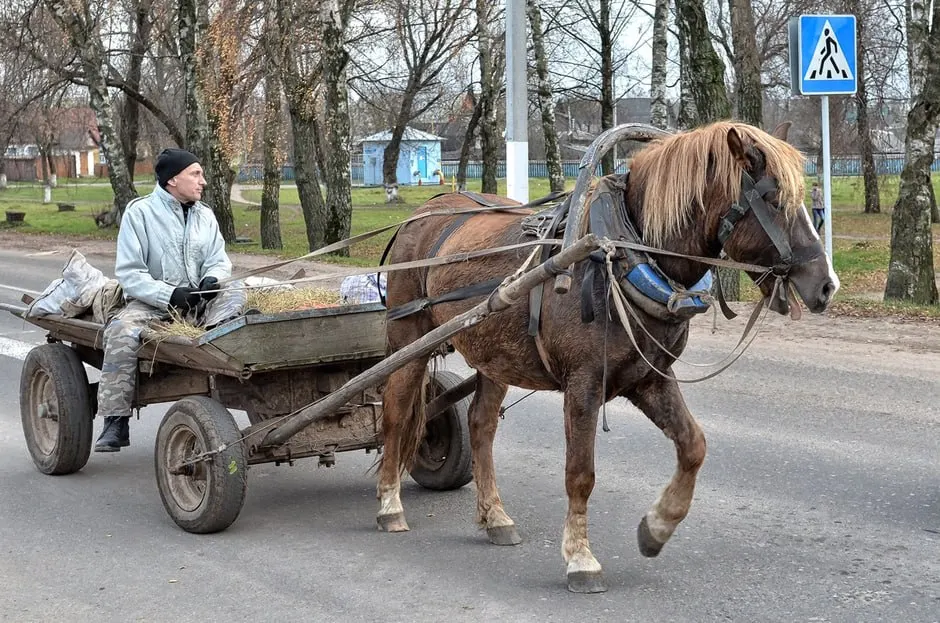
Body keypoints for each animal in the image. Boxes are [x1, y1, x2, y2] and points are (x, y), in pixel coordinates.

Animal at [375, 121, 839, 593]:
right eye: (774, 199)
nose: (826, 285)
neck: (620, 254)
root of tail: (425, 211)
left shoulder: (650, 377)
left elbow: (693, 446)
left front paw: (656, 528)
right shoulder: (583, 385)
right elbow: (581, 474)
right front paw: (581, 558)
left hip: (494, 356)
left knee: (481, 426)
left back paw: (496, 517)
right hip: (411, 340)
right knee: (395, 413)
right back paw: (390, 505)